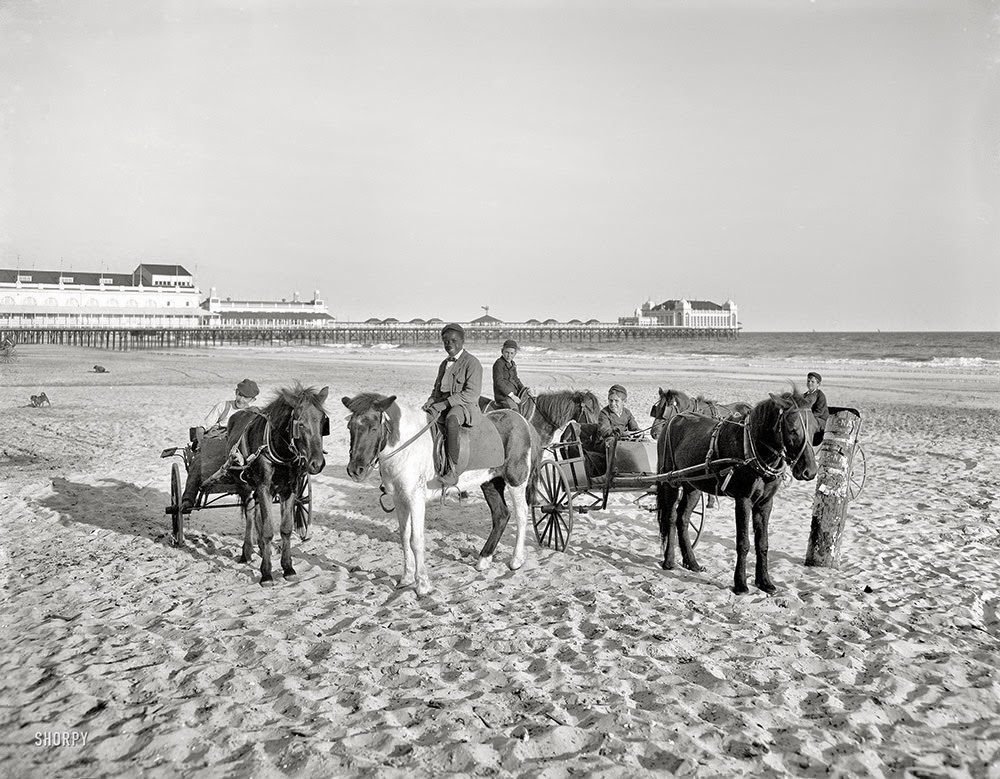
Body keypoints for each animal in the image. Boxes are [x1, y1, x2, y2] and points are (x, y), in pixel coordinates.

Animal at [227, 384, 328, 584]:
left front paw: (288, 567)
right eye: (300, 423)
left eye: (323, 422)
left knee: (257, 512)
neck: (280, 450)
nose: (317, 464)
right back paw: (246, 552)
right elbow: (267, 529)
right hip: (245, 486)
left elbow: (286, 529)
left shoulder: (290, 489)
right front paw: (266, 573)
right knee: (250, 514)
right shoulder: (263, 487)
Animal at [342, 396, 536, 596]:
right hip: (490, 482)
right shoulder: (400, 499)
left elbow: (416, 540)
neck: (407, 448)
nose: (355, 470)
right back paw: (484, 559)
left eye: (373, 428)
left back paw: (516, 560)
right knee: (501, 515)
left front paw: (422, 584)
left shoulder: (415, 499)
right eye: (350, 427)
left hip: (516, 480)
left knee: (521, 515)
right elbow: (404, 537)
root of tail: (521, 420)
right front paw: (406, 578)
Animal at [660, 394, 816, 596]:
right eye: (793, 430)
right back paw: (669, 561)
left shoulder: (765, 503)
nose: (810, 471)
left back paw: (692, 562)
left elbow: (762, 543)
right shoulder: (743, 500)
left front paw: (765, 582)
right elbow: (743, 543)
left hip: (692, 485)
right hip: (670, 481)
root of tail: (675, 418)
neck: (753, 449)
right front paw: (741, 584)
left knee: (683, 518)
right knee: (670, 518)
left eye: (815, 429)